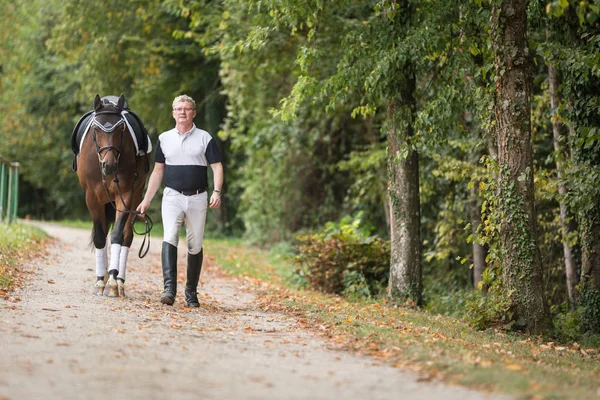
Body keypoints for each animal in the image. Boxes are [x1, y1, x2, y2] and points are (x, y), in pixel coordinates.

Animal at [73, 94, 151, 296]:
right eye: (95, 129)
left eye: (121, 129)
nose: (109, 166)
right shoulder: (92, 198)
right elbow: (100, 236)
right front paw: (101, 281)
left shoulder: (126, 195)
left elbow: (117, 235)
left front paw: (113, 282)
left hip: (136, 196)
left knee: (127, 236)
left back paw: (120, 280)